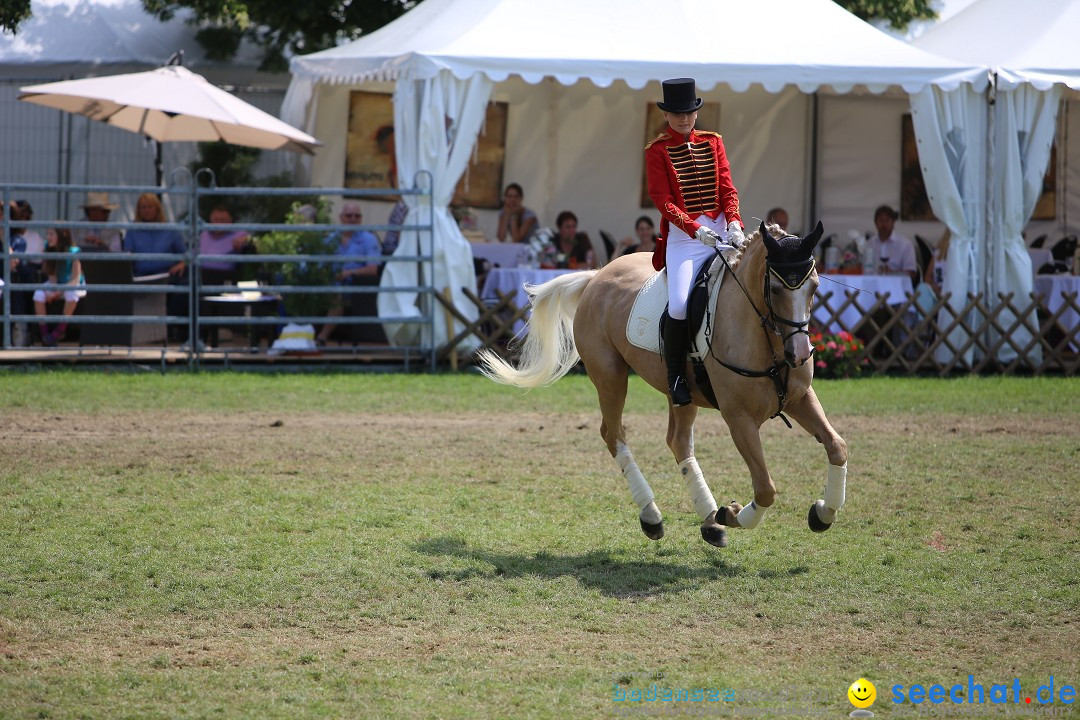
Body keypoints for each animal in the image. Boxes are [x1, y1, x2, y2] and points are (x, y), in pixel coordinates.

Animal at [477, 222, 846, 548]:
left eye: (814, 287)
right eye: (775, 289)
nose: (799, 354)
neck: (766, 340)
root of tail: (597, 276)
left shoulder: (800, 398)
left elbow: (837, 446)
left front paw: (822, 513)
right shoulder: (739, 419)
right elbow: (766, 489)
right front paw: (730, 513)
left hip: (682, 392)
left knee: (678, 442)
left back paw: (709, 522)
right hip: (610, 377)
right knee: (614, 435)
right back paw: (654, 516)